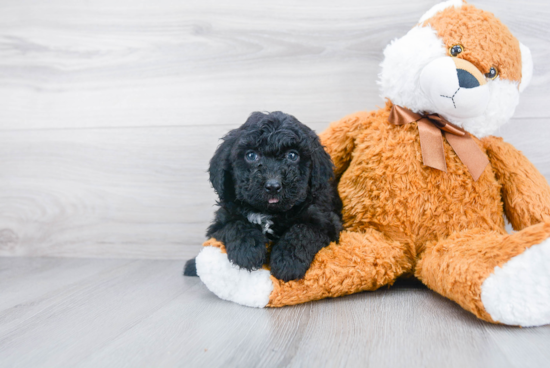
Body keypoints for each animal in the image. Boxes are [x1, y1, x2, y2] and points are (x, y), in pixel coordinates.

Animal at [185, 110, 340, 280]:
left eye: (292, 156)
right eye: (251, 155)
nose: (273, 186)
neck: (269, 212)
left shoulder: (326, 221)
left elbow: (303, 230)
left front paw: (288, 262)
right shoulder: (219, 222)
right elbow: (235, 224)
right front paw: (247, 251)